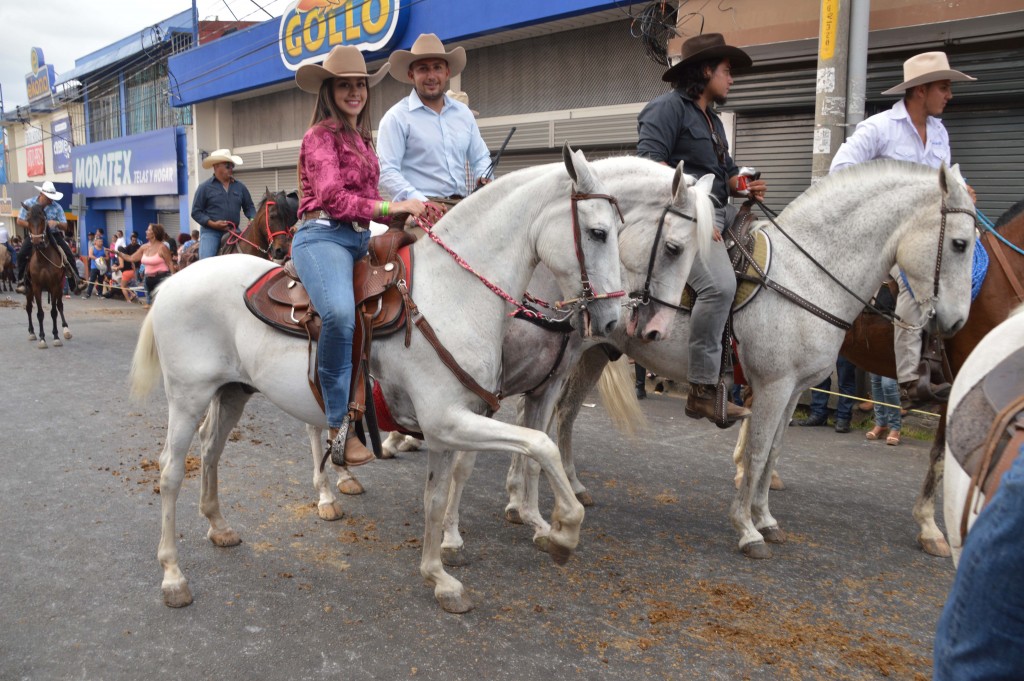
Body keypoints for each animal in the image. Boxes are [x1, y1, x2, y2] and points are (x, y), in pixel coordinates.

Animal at [22, 201, 73, 348]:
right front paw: (42, 338)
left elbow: (54, 311)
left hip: (60, 288)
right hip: (29, 290)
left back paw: (66, 329)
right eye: (28, 219)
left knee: (60, 305)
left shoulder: (55, 285)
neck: (43, 259)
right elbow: (39, 313)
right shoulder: (37, 287)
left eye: (43, 220)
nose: (37, 242)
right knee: (28, 308)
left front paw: (56, 336)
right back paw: (32, 332)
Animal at [132, 147, 626, 610]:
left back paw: (218, 527)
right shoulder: (448, 419)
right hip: (188, 398)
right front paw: (562, 532)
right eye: (598, 233)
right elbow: (541, 445)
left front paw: (439, 577)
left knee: (211, 449)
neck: (452, 293)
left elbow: (436, 499)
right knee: (171, 469)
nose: (613, 321)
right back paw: (173, 576)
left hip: (233, 392)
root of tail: (171, 283)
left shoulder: (450, 427)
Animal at [495, 160, 974, 557]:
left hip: (593, 354)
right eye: (960, 243)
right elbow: (758, 453)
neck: (804, 277)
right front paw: (747, 529)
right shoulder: (774, 386)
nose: (954, 322)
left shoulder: (793, 390)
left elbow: (774, 452)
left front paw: (766, 518)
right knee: (539, 414)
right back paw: (526, 500)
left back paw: (557, 490)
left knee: (562, 414)